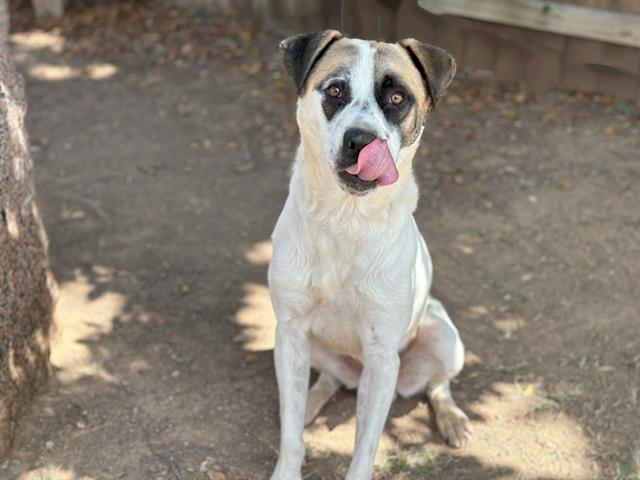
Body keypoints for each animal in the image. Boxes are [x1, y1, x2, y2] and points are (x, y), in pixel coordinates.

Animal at [266, 31, 470, 480]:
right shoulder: (290, 332)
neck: (346, 218)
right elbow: (290, 437)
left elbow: (365, 446)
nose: (360, 140)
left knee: (438, 384)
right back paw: (310, 404)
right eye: (334, 90)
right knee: (325, 381)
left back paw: (452, 419)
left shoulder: (381, 358)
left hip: (442, 335)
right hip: (303, 344)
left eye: (397, 98)